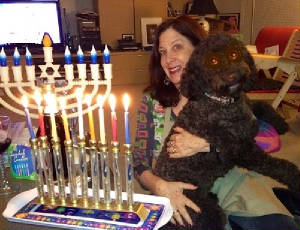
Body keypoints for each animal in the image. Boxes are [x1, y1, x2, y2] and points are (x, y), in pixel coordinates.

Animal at [155, 33, 300, 229]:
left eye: (233, 54)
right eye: (213, 61)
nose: (232, 76)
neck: (222, 102)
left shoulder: (249, 112)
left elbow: (262, 105)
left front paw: (280, 122)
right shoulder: (243, 151)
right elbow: (280, 166)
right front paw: (296, 180)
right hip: (203, 212)